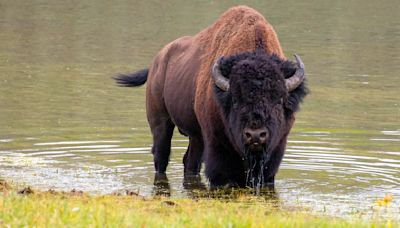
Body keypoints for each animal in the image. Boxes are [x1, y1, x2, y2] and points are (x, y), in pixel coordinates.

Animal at [115, 6, 310, 190]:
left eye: (279, 101)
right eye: (235, 100)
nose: (255, 135)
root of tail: (158, 61)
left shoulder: (276, 150)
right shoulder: (217, 146)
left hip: (196, 137)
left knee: (190, 162)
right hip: (160, 123)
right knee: (161, 157)